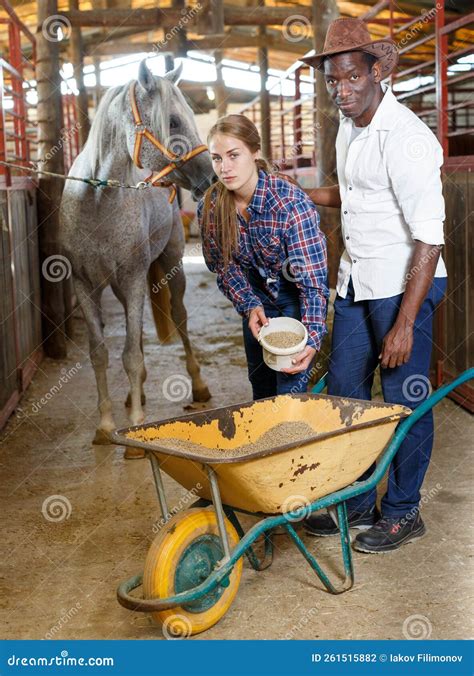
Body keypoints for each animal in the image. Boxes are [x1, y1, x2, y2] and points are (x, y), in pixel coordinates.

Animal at [60, 60, 212, 446]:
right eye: (173, 122)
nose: (210, 178)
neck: (98, 196)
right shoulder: (86, 285)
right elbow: (101, 353)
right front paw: (106, 425)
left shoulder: (132, 279)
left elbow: (130, 355)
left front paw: (136, 429)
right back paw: (135, 394)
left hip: (172, 265)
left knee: (179, 318)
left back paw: (199, 386)